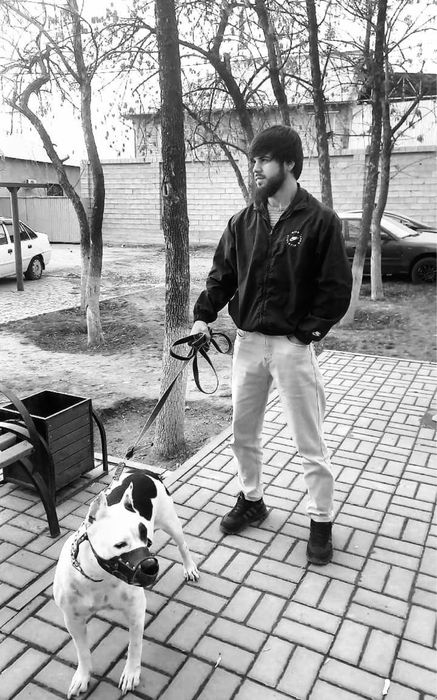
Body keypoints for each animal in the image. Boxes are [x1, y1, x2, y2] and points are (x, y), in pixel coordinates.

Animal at [53, 467, 199, 697]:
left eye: (147, 541)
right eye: (120, 545)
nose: (151, 566)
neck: (100, 578)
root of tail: (141, 471)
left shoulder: (136, 612)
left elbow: (135, 646)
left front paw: (131, 673)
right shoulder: (73, 620)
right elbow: (82, 651)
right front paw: (82, 676)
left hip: (171, 523)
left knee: (182, 545)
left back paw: (190, 567)